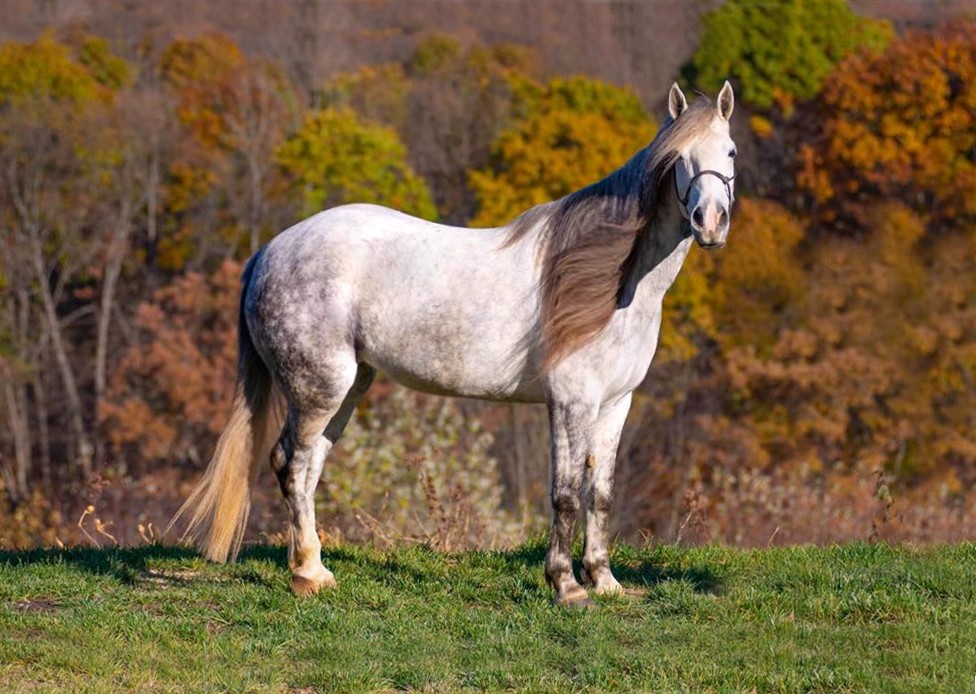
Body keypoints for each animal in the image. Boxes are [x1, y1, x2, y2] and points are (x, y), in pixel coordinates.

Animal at [171, 81, 737, 606]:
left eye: (729, 152)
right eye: (679, 158)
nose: (710, 223)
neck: (615, 283)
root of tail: (270, 250)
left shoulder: (616, 404)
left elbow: (600, 494)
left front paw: (605, 582)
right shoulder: (570, 402)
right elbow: (565, 495)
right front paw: (565, 586)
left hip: (346, 389)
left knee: (308, 469)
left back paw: (317, 570)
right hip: (319, 390)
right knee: (290, 464)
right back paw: (308, 576)